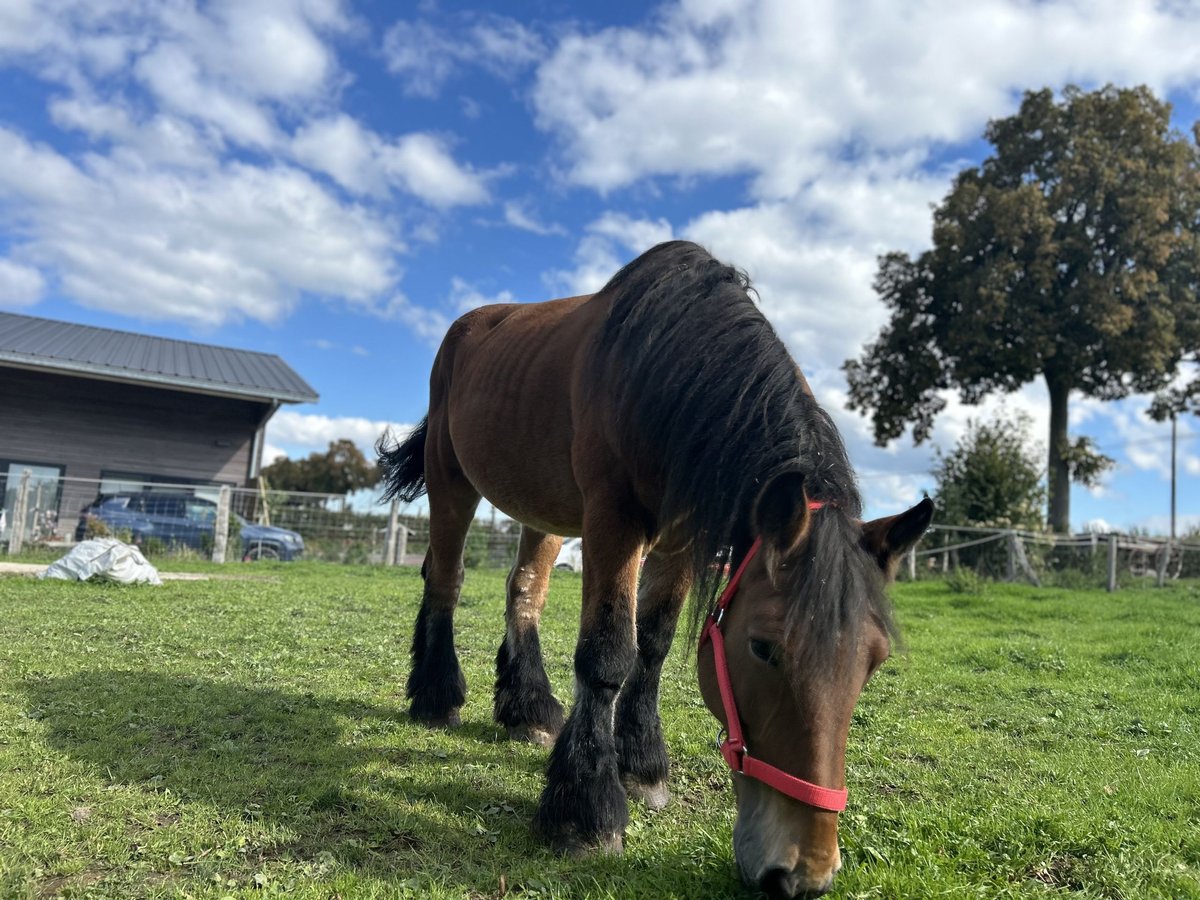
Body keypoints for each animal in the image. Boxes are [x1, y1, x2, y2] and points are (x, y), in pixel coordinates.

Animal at [377, 240, 932, 899]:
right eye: (763, 648)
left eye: (875, 661)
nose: (803, 872)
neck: (666, 377)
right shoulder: (613, 523)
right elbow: (608, 653)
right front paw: (586, 811)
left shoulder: (683, 542)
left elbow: (655, 646)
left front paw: (641, 764)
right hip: (451, 480)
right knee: (446, 582)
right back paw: (436, 697)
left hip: (543, 507)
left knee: (524, 592)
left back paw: (528, 709)